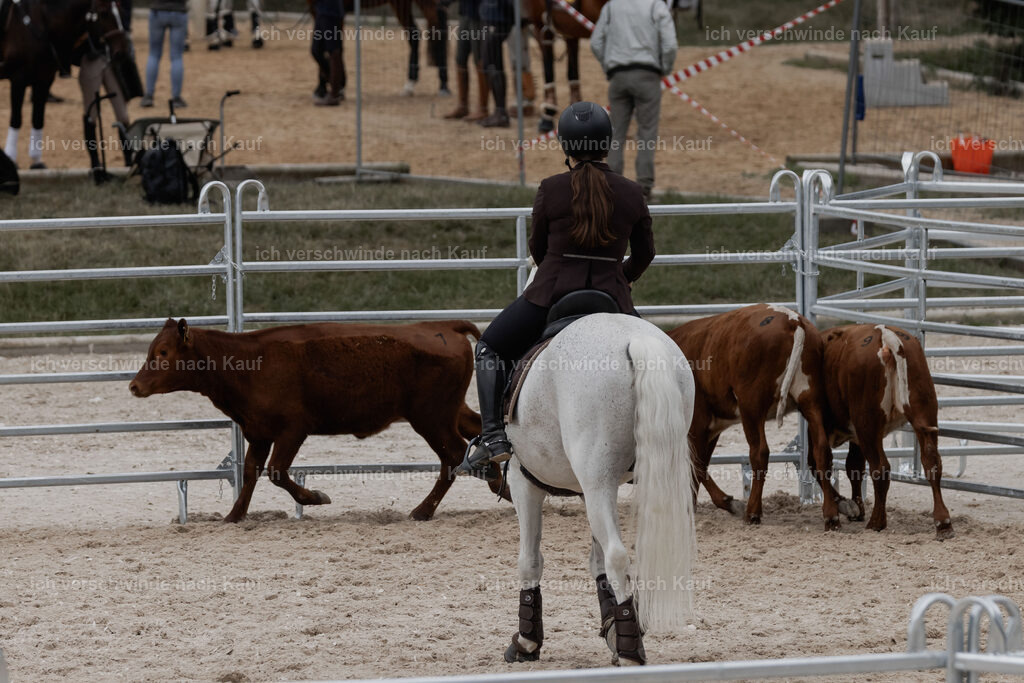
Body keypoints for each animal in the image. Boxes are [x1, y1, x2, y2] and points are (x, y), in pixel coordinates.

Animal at [0, 0, 130, 168]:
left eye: (121, 12)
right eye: (103, 13)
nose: (122, 53)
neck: (40, 21)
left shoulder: (44, 79)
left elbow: (37, 119)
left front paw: (37, 162)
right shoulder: (18, 79)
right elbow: (16, 120)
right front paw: (11, 159)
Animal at [500, 312, 697, 665]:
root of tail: (634, 338)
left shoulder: (525, 482)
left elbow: (529, 560)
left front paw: (527, 641)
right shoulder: (590, 490)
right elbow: (596, 560)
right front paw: (611, 627)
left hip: (595, 484)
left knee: (618, 557)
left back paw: (631, 652)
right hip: (606, 486)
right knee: (616, 557)